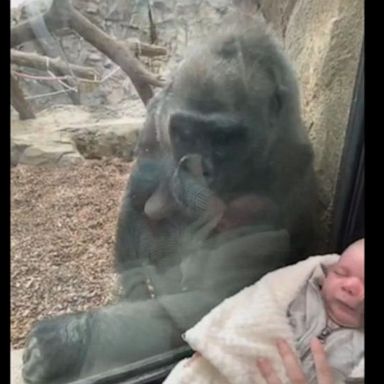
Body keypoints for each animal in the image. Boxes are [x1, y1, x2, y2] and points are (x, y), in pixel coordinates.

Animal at [22, 14, 320, 384]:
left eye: (224, 138)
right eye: (186, 132)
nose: (199, 169)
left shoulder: (287, 170)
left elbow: (215, 307)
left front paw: (71, 340)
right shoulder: (159, 113)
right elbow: (138, 198)